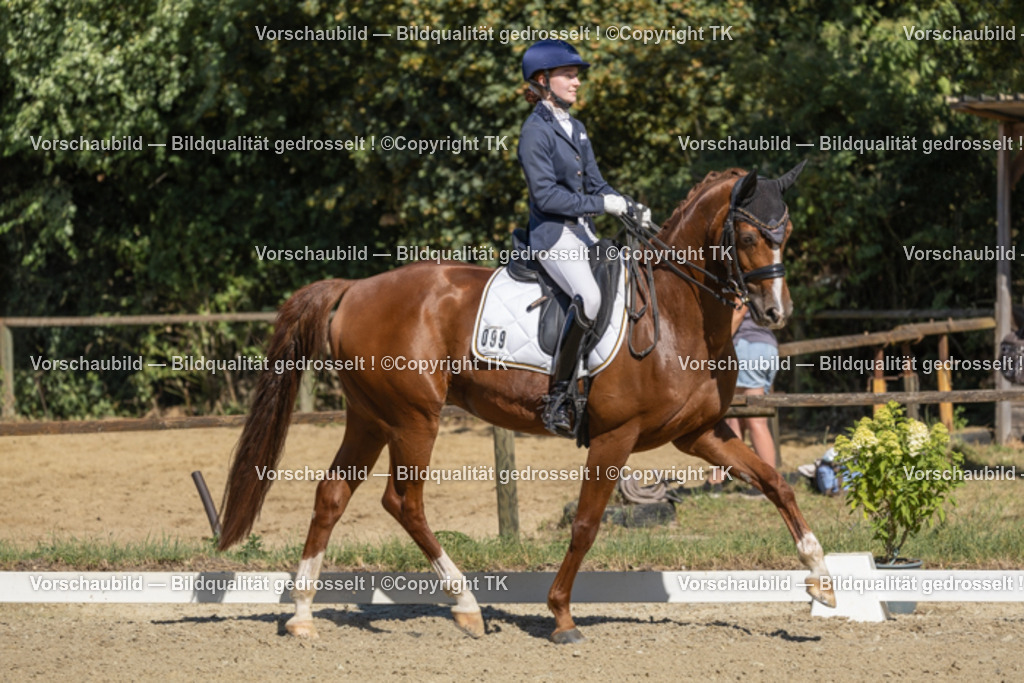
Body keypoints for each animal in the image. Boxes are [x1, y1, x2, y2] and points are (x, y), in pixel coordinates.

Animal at [217, 164, 836, 643]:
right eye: (748, 235)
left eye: (786, 231)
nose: (775, 312)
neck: (678, 314)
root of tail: (355, 288)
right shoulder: (614, 437)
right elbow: (586, 524)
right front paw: (561, 615)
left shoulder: (699, 433)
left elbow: (774, 483)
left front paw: (821, 577)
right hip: (414, 418)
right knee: (403, 502)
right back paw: (465, 605)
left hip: (371, 416)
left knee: (332, 495)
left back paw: (302, 616)